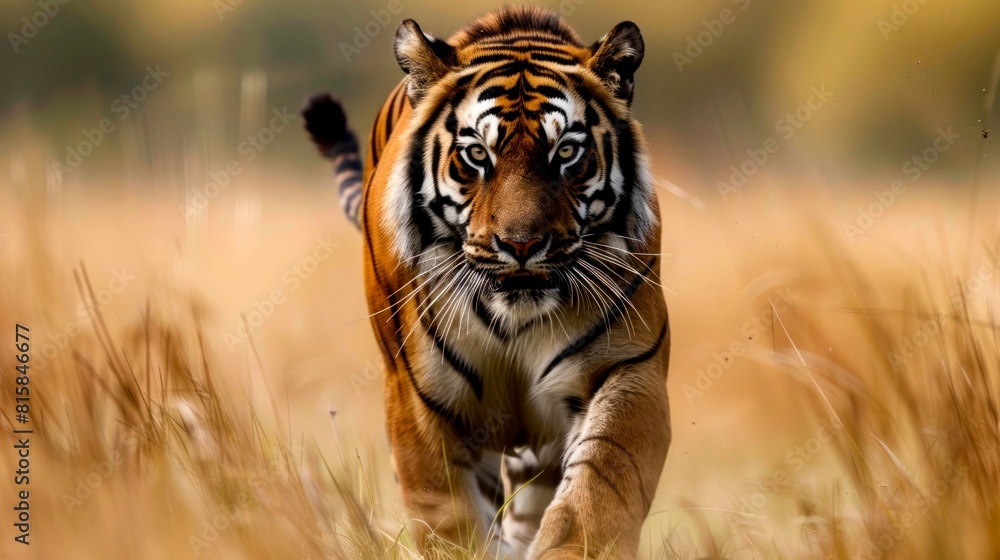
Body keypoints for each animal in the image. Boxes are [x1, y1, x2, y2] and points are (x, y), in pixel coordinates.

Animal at [303, 6, 670, 559]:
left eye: (566, 152)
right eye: (477, 155)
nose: (521, 244)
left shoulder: (630, 368)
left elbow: (600, 484)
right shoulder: (420, 399)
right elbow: (450, 520)